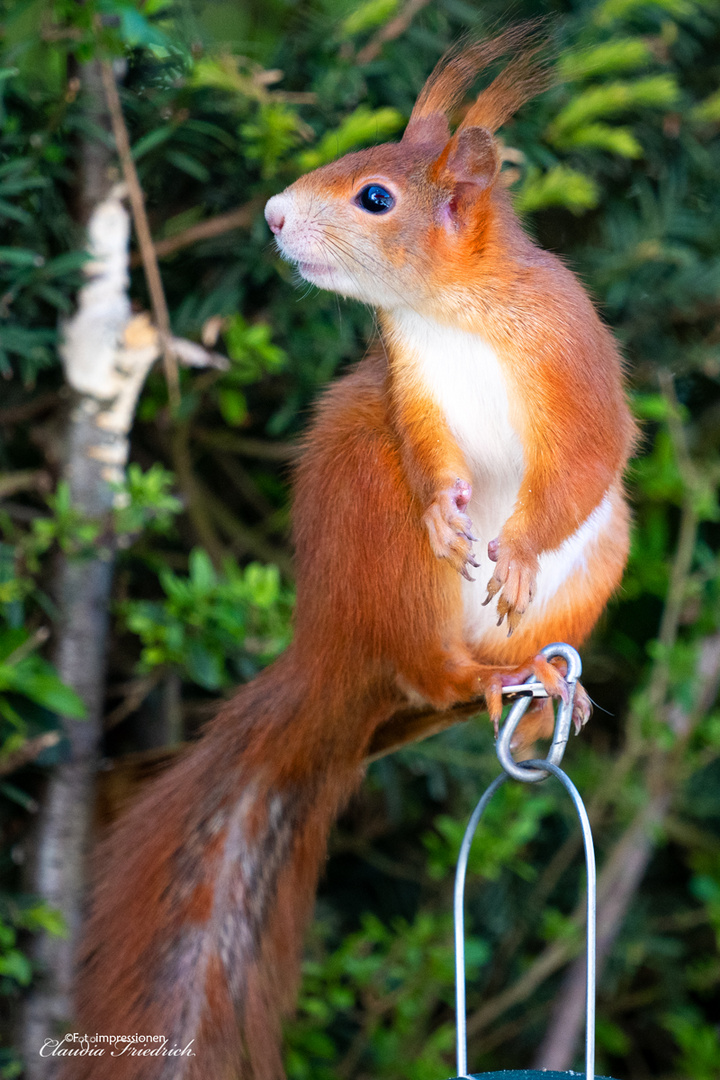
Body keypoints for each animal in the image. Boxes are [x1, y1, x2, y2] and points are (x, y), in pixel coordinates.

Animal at [67, 23, 634, 1080]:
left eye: (375, 196)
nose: (273, 214)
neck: (452, 311)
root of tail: (332, 651)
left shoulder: (573, 363)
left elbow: (585, 462)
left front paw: (516, 551)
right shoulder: (406, 385)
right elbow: (430, 457)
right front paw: (454, 516)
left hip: (594, 557)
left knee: (482, 654)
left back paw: (543, 686)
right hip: (378, 535)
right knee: (425, 661)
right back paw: (488, 674)